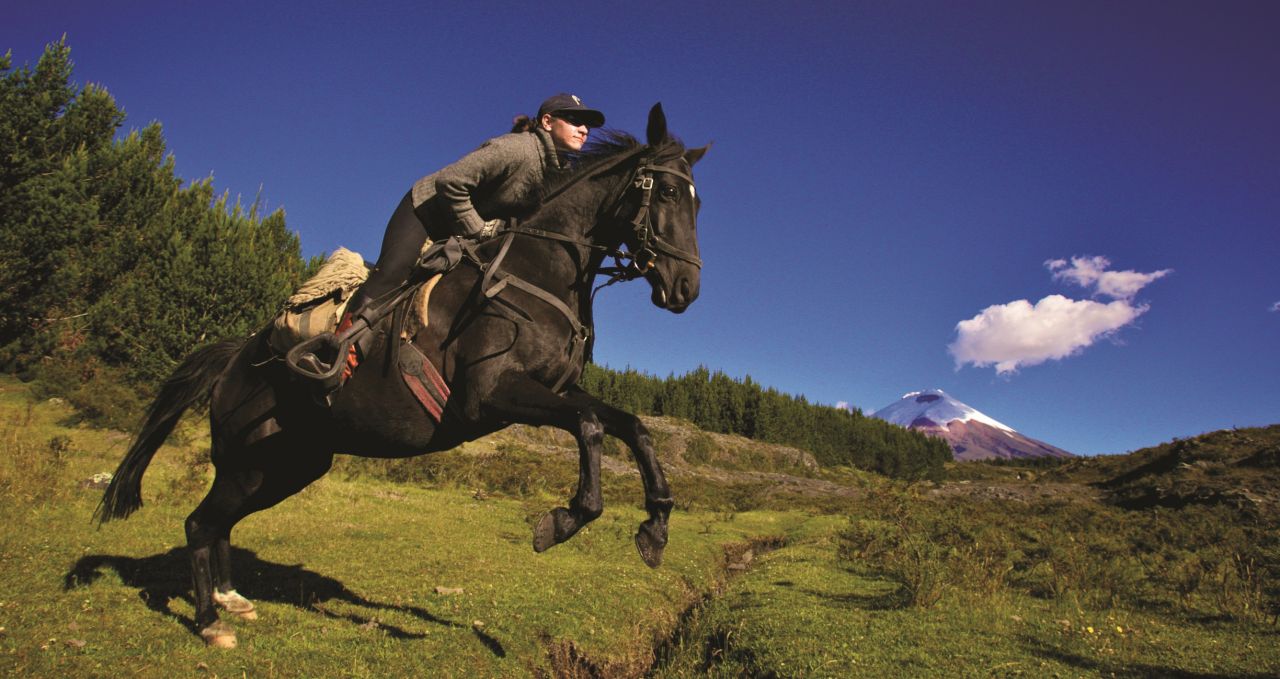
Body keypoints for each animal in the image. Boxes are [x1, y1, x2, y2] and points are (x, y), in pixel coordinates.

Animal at [94, 104, 706, 645]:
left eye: (697, 202)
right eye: (668, 193)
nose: (685, 289)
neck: (541, 268)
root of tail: (236, 359)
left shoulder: (557, 389)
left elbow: (631, 426)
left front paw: (655, 529)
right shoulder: (492, 396)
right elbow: (590, 427)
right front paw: (562, 521)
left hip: (287, 465)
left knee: (219, 524)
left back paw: (231, 600)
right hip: (251, 463)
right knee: (201, 525)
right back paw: (210, 622)